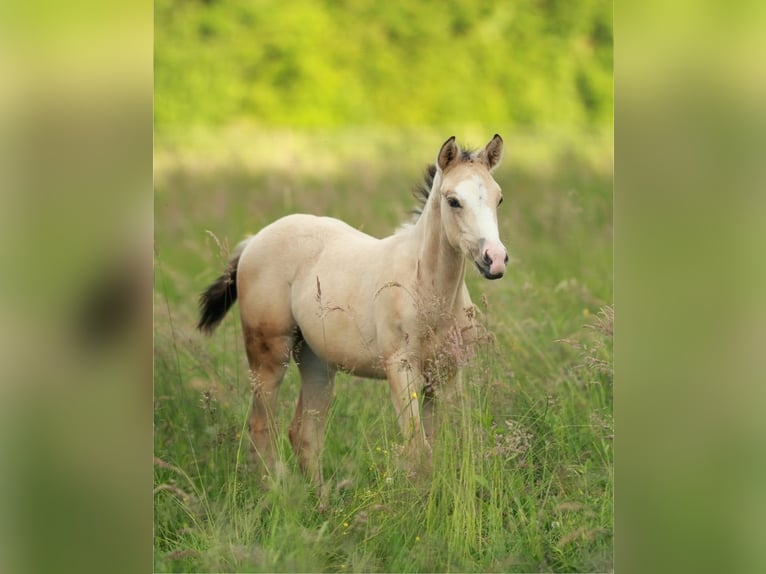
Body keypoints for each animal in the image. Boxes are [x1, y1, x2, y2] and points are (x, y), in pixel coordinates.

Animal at [198, 135, 510, 486]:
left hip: (316, 362)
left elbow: (439, 447)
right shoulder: (400, 369)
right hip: (268, 355)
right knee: (261, 426)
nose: (495, 259)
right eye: (453, 200)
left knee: (304, 433)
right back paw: (280, 490)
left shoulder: (446, 374)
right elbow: (418, 450)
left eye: (498, 198)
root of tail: (253, 241)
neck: (427, 292)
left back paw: (318, 497)